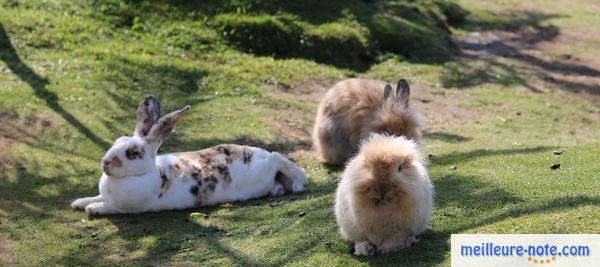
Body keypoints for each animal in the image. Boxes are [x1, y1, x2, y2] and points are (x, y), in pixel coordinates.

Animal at [71, 96, 308, 216]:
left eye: (133, 153)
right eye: (117, 141)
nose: (105, 162)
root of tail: (260, 154)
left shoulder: (127, 207)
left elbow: (107, 206)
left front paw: (93, 209)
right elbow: (97, 196)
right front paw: (79, 203)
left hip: (266, 167)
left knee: (277, 156)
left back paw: (299, 182)